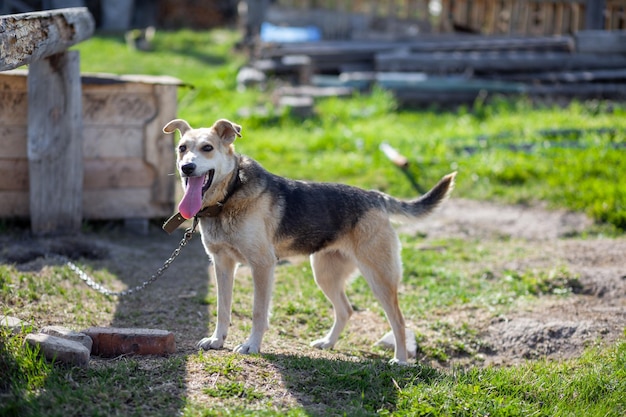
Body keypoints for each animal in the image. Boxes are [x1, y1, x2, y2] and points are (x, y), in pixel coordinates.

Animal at [161, 118, 454, 362]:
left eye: (207, 148)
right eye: (182, 148)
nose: (187, 167)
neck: (229, 195)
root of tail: (376, 196)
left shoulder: (262, 265)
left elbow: (258, 312)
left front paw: (251, 345)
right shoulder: (222, 265)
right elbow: (223, 309)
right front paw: (217, 340)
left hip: (379, 277)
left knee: (399, 321)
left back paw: (401, 361)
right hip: (325, 274)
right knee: (346, 310)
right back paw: (328, 343)